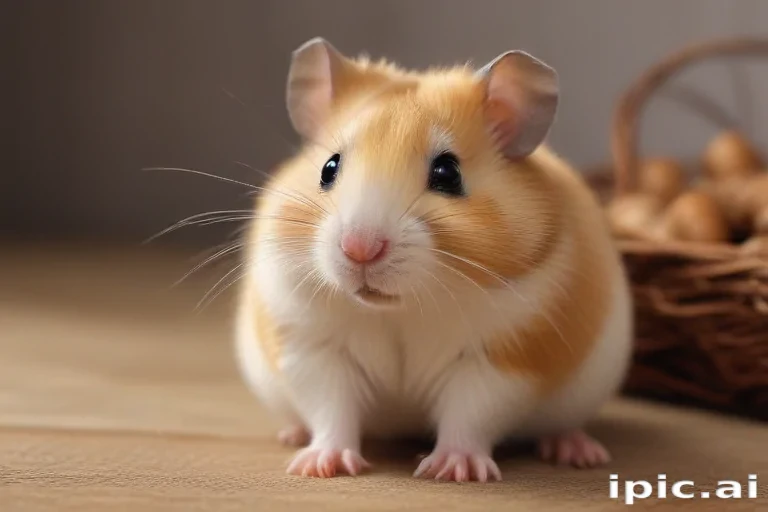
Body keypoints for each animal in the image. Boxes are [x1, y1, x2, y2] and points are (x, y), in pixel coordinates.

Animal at [235, 37, 633, 481]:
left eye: (448, 174)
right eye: (328, 167)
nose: (359, 248)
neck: (399, 309)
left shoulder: (501, 359)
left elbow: (470, 415)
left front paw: (454, 470)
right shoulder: (313, 347)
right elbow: (331, 409)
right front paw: (320, 467)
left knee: (562, 427)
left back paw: (580, 453)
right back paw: (290, 436)